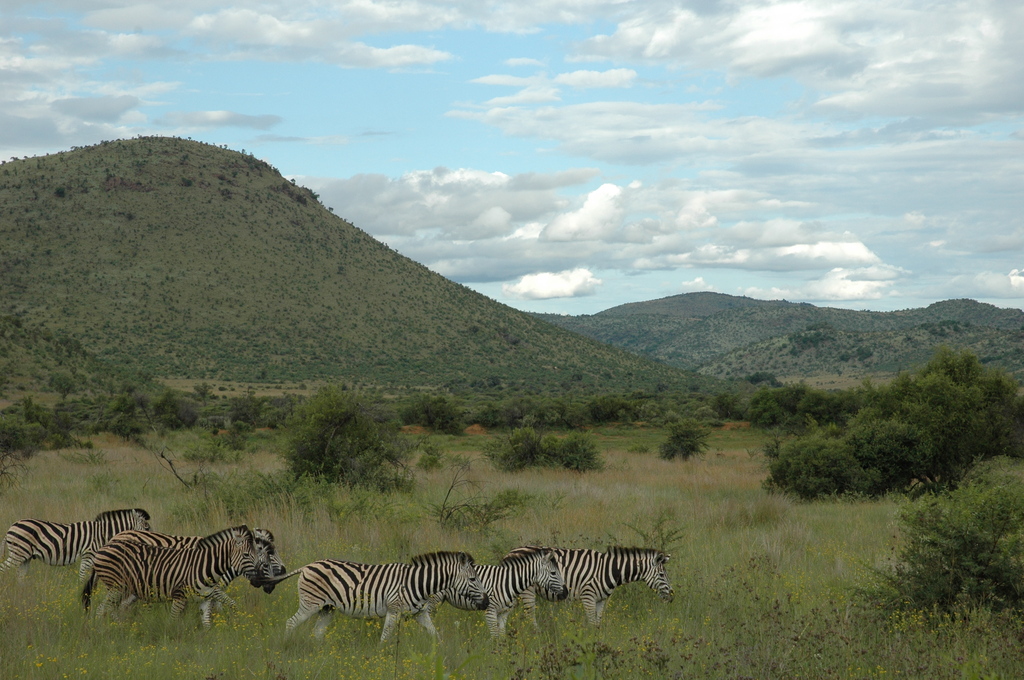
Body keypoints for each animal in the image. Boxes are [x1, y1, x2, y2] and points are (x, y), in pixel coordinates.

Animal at [1, 507, 151, 581]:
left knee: (20, 577)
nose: (151, 540)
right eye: (147, 527)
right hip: (18, 554)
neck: (102, 533)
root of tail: (11, 527)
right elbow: (82, 576)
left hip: (25, 557)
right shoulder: (88, 554)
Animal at [82, 522, 264, 630]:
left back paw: (121, 626)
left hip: (123, 589)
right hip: (117, 587)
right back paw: (101, 630)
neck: (206, 564)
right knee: (102, 609)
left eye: (259, 555)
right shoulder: (180, 595)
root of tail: (106, 545)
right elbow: (173, 621)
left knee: (111, 608)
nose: (258, 581)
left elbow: (207, 624)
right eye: (247, 555)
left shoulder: (205, 598)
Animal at [247, 548, 487, 639]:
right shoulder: (393, 609)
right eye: (473, 579)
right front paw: (382, 658)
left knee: (317, 633)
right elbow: (385, 637)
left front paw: (442, 656)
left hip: (327, 608)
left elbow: (435, 635)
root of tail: (307, 565)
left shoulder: (420, 614)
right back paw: (286, 645)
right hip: (310, 604)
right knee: (290, 623)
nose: (486, 602)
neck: (416, 583)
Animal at [423, 544, 569, 634]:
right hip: (434, 599)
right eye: (553, 573)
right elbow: (494, 635)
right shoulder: (490, 612)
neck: (507, 583)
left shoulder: (503, 613)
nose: (566, 592)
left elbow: (501, 635)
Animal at [507, 548, 675, 626]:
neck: (610, 570)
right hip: (527, 591)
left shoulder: (601, 600)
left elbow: (598, 623)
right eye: (661, 575)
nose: (672, 598)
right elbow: (592, 623)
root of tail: (511, 552)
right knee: (530, 616)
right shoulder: (588, 597)